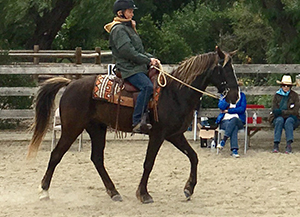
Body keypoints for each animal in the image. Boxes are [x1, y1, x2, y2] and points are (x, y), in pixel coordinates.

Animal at [28, 46, 239, 203]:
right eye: (224, 69)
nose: (235, 96)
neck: (174, 93)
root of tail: (70, 84)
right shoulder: (158, 135)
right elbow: (149, 163)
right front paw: (143, 194)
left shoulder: (175, 135)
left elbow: (193, 157)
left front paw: (189, 189)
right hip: (72, 129)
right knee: (56, 155)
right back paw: (44, 191)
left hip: (97, 128)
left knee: (97, 159)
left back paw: (113, 192)